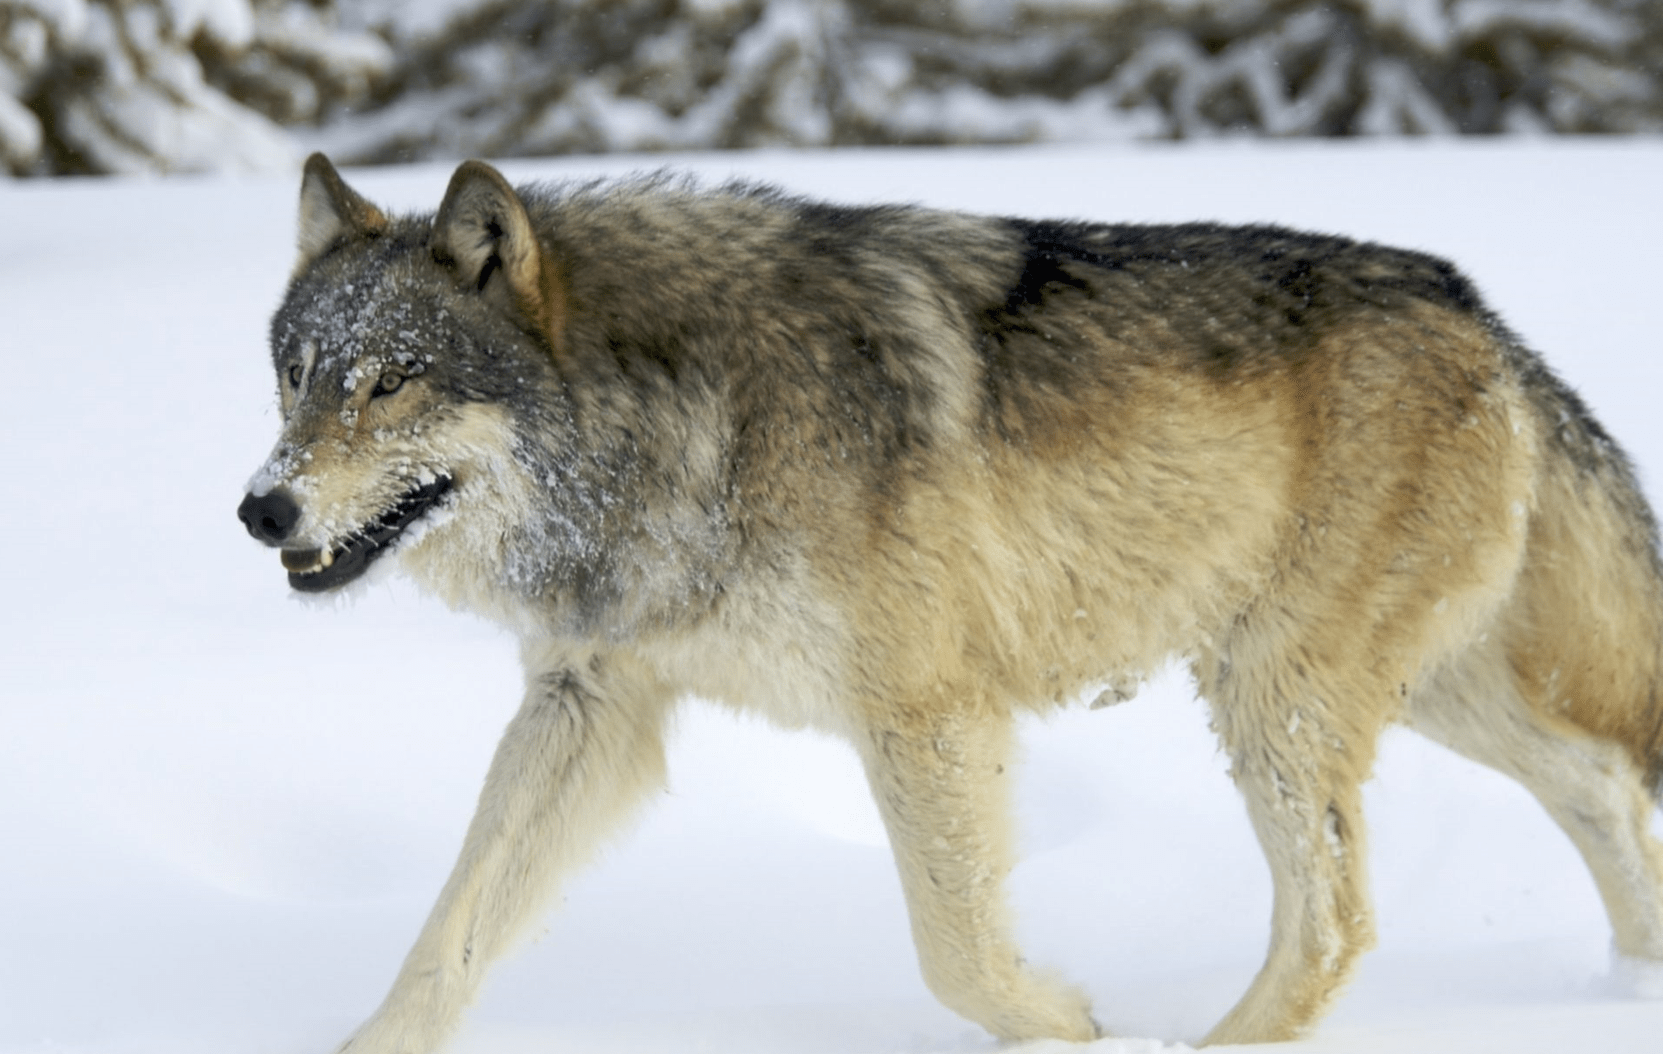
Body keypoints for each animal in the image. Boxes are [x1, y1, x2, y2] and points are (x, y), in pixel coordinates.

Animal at [237, 152, 1663, 1044]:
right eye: (297, 378)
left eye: (393, 382)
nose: (261, 510)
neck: (685, 424)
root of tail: (1479, 313)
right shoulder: (590, 705)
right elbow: (445, 934)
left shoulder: (926, 712)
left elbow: (956, 950)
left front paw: (1070, 1026)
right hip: (1413, 690)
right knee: (1598, 782)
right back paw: (1632, 989)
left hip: (1278, 698)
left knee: (1334, 924)